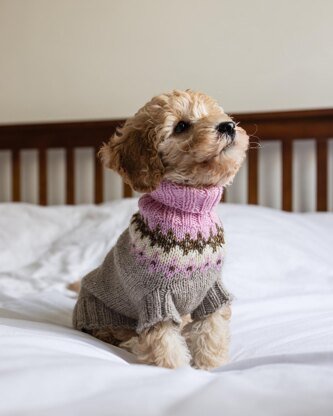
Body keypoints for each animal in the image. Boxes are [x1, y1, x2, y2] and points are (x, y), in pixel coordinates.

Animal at [72, 89, 249, 368]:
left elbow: (211, 331)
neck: (188, 214)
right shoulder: (154, 299)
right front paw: (178, 370)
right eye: (181, 126)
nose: (228, 125)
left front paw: (211, 365)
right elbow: (164, 343)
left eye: (214, 113)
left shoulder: (212, 292)